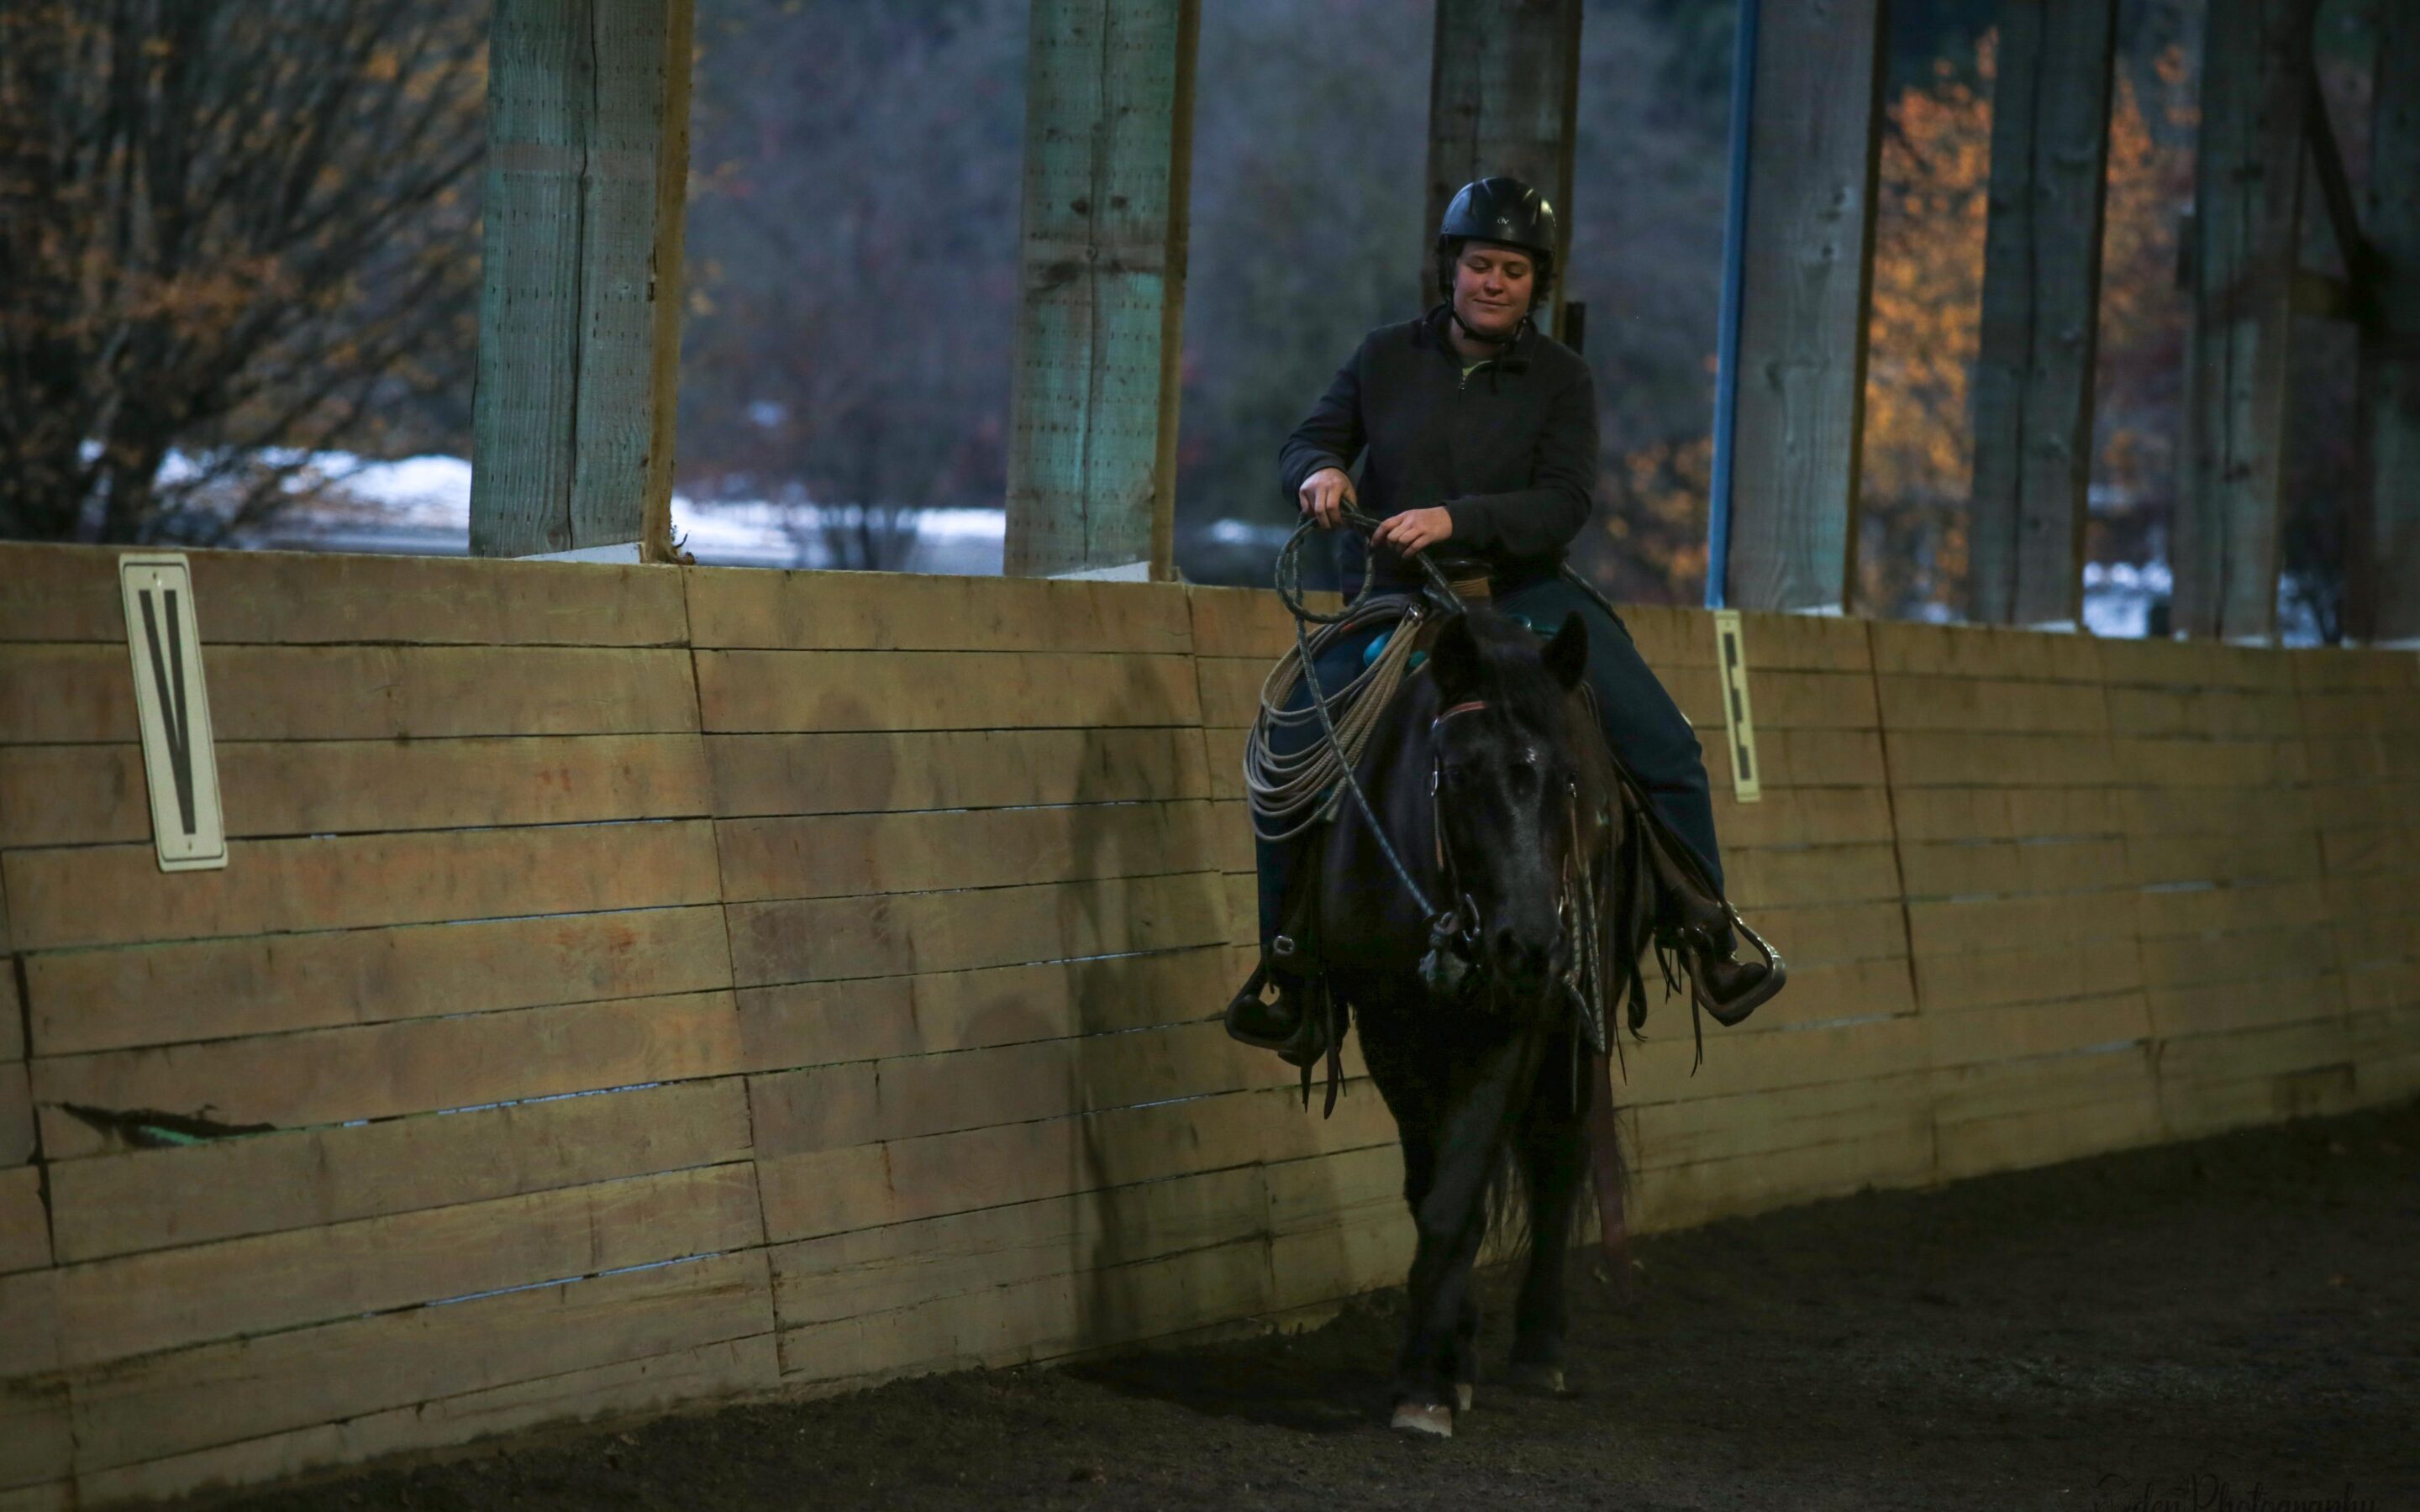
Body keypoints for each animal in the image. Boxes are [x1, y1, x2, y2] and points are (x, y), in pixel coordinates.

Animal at [1316, 602, 1635, 1441]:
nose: (1531, 943)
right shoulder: (1392, 1035)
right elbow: (1431, 1192)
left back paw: (1540, 1349)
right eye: (1459, 773)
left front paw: (1426, 1381)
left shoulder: (1516, 1031)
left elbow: (1459, 1195)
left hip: (1573, 1028)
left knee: (1558, 1159)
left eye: (1565, 777)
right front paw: (1441, 1364)